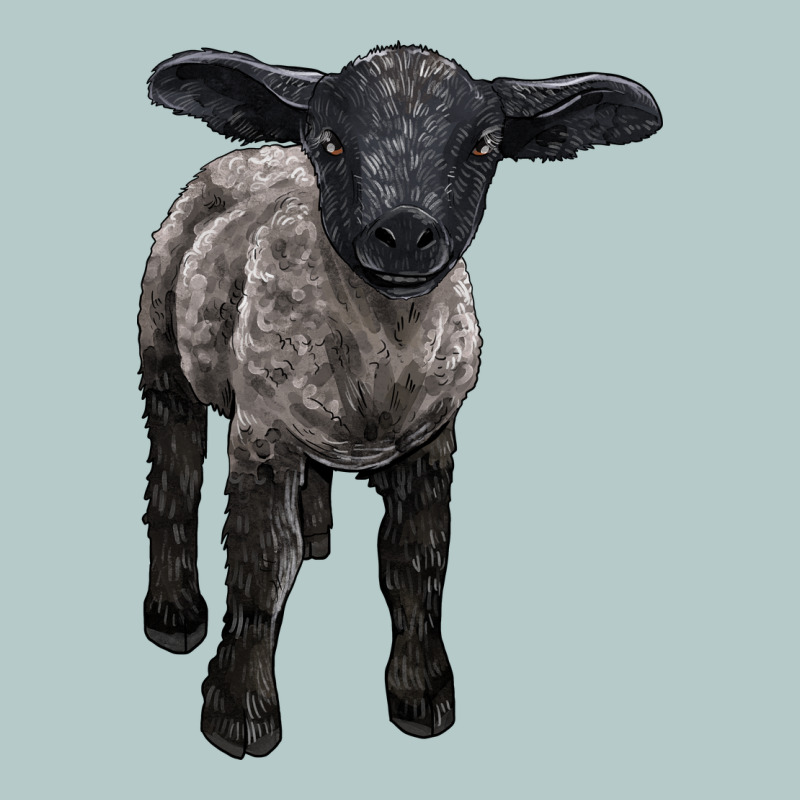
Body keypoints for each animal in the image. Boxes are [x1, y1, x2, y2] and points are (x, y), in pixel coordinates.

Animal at [140, 44, 661, 759]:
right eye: (330, 142)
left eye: (483, 146)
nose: (408, 233)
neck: (380, 355)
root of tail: (258, 153)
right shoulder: (261, 434)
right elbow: (262, 565)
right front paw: (239, 712)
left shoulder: (431, 442)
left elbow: (415, 563)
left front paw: (422, 695)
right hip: (162, 349)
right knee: (175, 470)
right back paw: (173, 612)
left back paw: (318, 532)